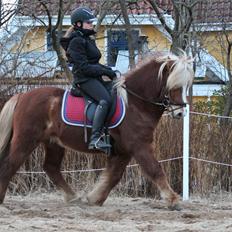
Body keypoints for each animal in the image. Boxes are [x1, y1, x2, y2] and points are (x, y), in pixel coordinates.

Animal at [0, 51, 193, 209]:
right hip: (26, 139)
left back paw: (73, 197)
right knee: (10, 164)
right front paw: (173, 200)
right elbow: (155, 169)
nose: (180, 112)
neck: (135, 103)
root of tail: (22, 96)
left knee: (51, 167)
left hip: (53, 142)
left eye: (186, 86)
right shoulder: (139, 146)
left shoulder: (123, 151)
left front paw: (95, 198)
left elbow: (113, 176)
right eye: (174, 85)